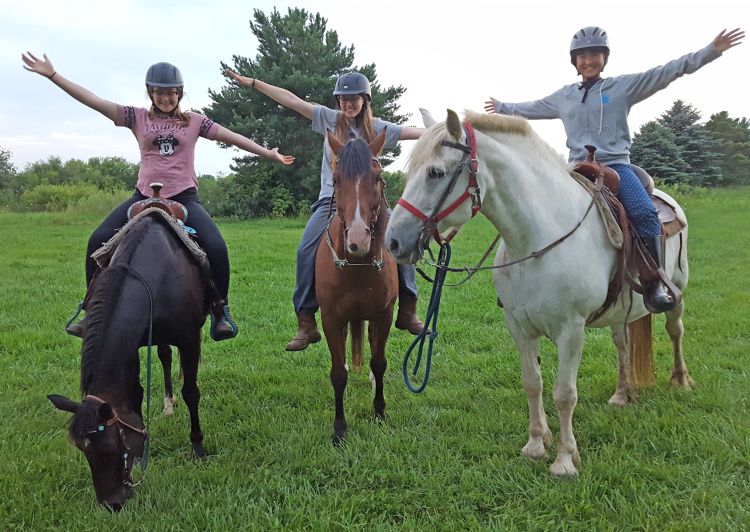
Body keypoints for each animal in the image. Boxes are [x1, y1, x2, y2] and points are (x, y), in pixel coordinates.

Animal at [47, 210, 209, 510]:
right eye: (81, 449)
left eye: (110, 447)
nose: (111, 504)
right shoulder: (134, 343)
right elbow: (136, 394)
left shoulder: (190, 338)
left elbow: (192, 392)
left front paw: (198, 447)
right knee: (165, 356)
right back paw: (168, 404)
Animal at [316, 129, 400, 444]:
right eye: (337, 179)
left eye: (377, 177)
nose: (357, 240)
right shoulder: (331, 319)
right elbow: (338, 373)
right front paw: (339, 429)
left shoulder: (384, 315)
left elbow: (379, 362)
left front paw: (380, 412)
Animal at [388, 110, 692, 476]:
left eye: (436, 172)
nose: (393, 241)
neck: (538, 239)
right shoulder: (519, 327)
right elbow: (533, 382)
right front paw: (535, 444)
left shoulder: (571, 330)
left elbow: (565, 393)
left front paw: (565, 459)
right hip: (621, 312)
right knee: (623, 344)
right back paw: (623, 393)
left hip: (677, 291)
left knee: (675, 331)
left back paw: (681, 380)